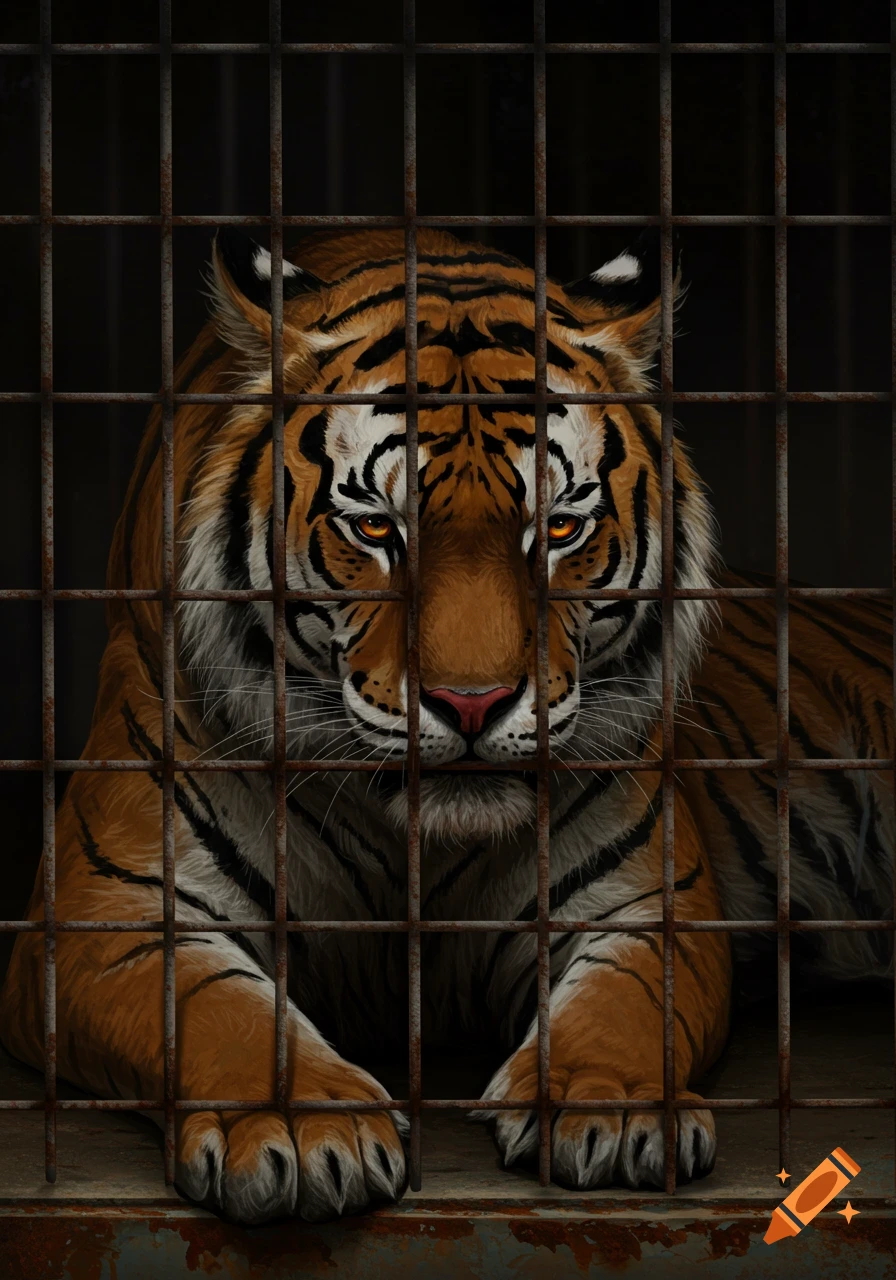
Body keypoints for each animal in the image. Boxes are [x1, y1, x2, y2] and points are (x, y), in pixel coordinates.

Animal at [1, 227, 892, 1225]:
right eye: (377, 529)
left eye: (559, 530)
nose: (472, 703)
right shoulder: (109, 911)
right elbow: (218, 1012)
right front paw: (304, 1131)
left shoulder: (647, 907)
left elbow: (623, 1008)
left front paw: (612, 1109)